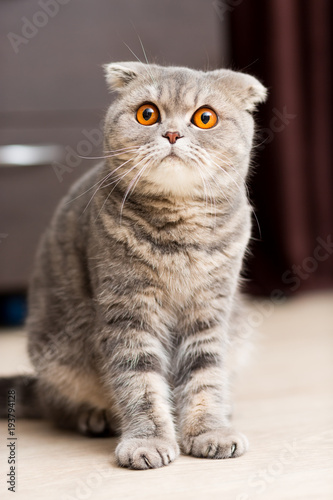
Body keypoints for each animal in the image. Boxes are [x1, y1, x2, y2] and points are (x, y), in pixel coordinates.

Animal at [0, 62, 264, 468]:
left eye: (205, 117)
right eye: (148, 114)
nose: (172, 133)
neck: (180, 233)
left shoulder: (209, 311)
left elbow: (205, 375)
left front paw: (209, 430)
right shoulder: (128, 311)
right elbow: (140, 382)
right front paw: (148, 441)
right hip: (56, 357)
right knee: (57, 405)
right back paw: (94, 417)